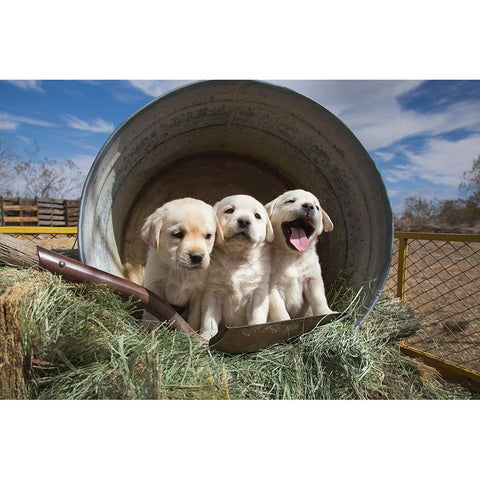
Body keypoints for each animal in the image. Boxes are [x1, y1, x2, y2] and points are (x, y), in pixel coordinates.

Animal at [141, 198, 218, 330]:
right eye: (178, 234)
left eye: (208, 236)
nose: (197, 257)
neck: (181, 272)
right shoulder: (154, 286)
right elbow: (151, 315)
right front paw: (150, 331)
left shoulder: (198, 293)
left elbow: (194, 316)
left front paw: (191, 331)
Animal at [199, 193, 274, 340]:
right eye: (229, 210)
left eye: (257, 216)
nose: (244, 221)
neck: (237, 256)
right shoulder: (212, 292)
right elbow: (209, 319)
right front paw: (206, 336)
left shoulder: (258, 292)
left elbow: (256, 317)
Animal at [264, 188, 336, 322]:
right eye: (290, 201)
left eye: (317, 207)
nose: (309, 206)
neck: (292, 256)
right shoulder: (272, 289)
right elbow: (280, 312)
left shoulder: (312, 280)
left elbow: (319, 299)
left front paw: (326, 313)